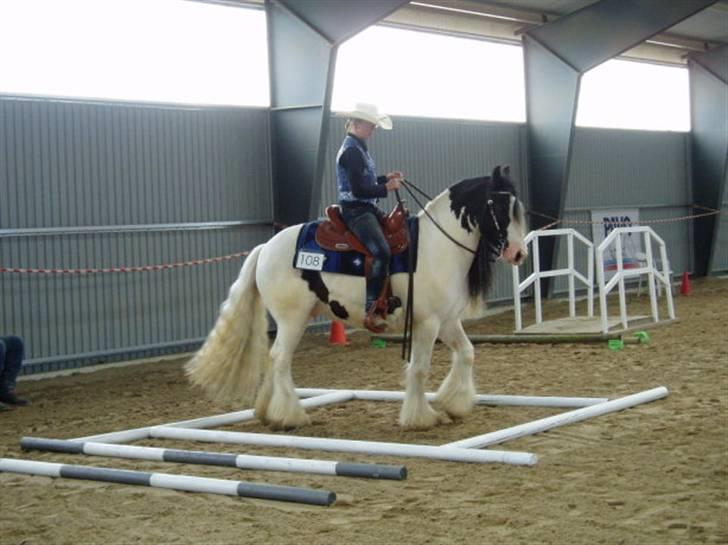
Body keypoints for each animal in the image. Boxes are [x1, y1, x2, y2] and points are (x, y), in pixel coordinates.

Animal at [185, 166, 528, 430]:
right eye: (500, 207)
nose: (519, 253)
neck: (437, 246)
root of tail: (265, 247)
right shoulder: (427, 323)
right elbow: (419, 368)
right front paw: (420, 417)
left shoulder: (447, 321)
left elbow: (468, 353)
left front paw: (452, 403)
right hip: (292, 318)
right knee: (280, 358)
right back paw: (291, 416)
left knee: (274, 359)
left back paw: (268, 412)